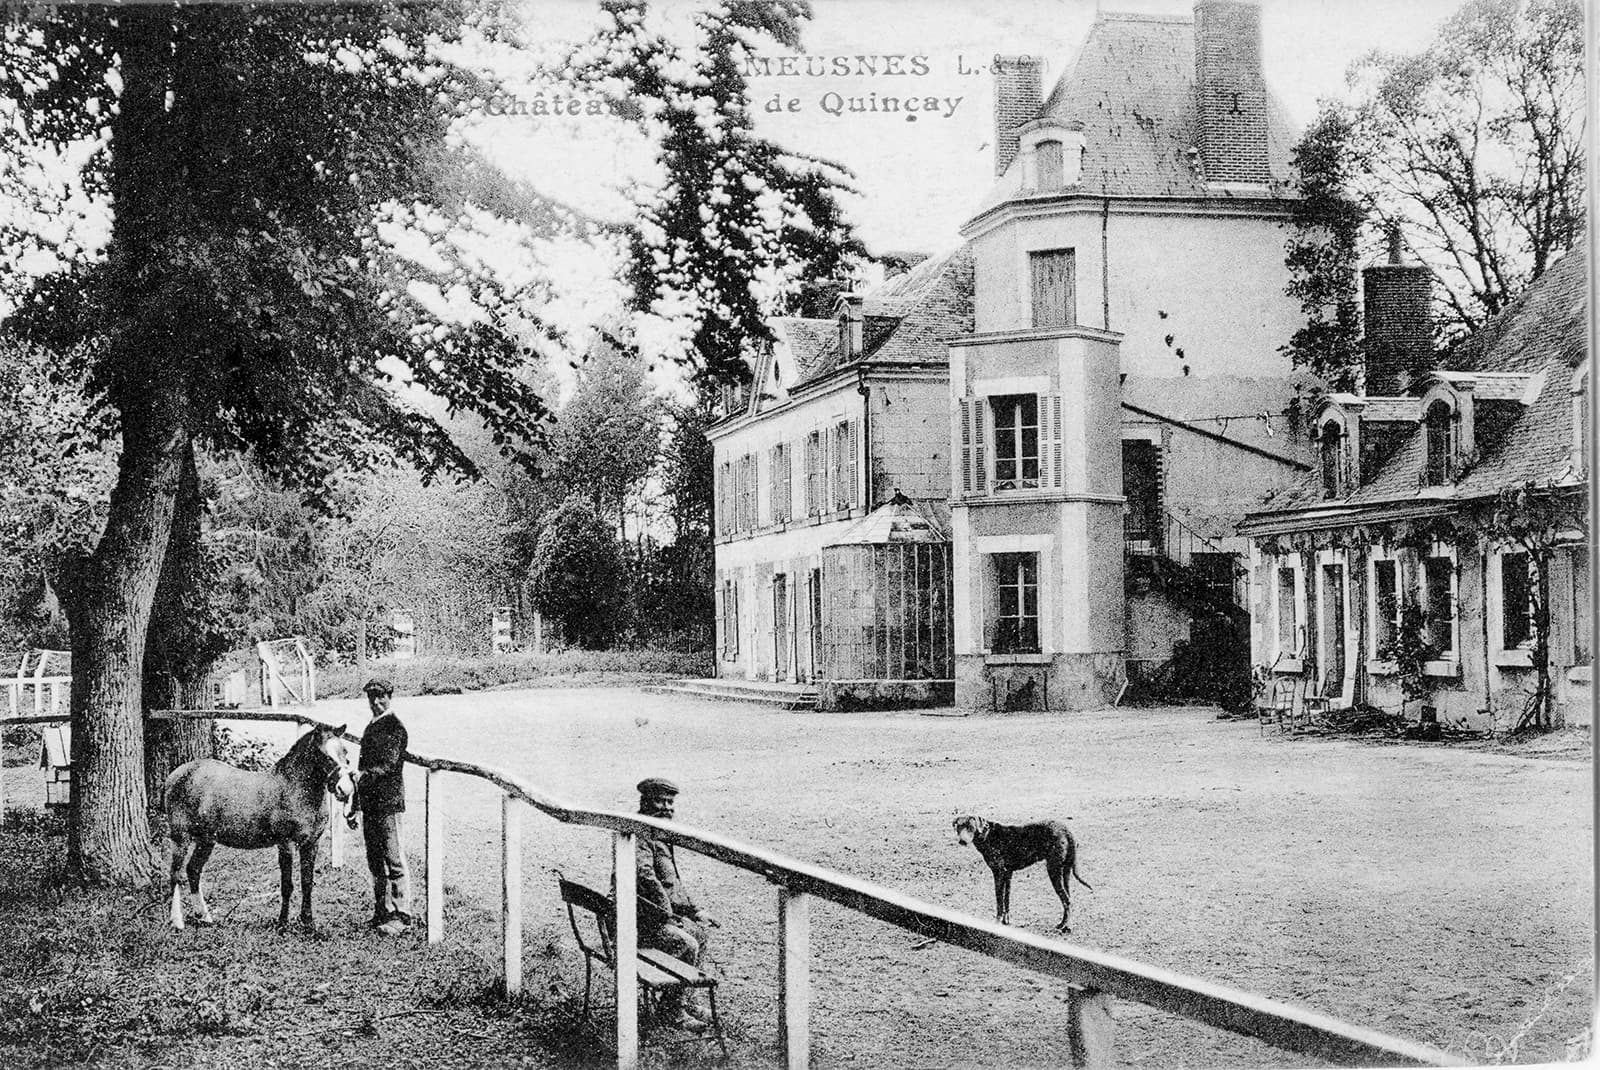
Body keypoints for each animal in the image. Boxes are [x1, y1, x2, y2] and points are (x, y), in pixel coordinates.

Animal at [164, 722, 355, 927]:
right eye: (325, 755)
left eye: (345, 752)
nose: (345, 789)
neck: (294, 789)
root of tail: (175, 775)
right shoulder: (286, 844)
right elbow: (287, 885)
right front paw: (282, 923)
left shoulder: (311, 844)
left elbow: (307, 883)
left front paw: (308, 923)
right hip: (180, 837)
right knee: (175, 874)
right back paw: (177, 921)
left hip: (206, 840)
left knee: (193, 870)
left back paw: (204, 916)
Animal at [953, 812, 1094, 927]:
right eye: (959, 827)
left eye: (970, 827)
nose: (962, 841)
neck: (988, 835)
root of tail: (1066, 830)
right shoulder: (1008, 874)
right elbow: (1006, 899)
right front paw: (1006, 921)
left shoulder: (998, 873)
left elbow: (999, 901)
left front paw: (997, 922)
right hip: (1065, 872)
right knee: (1068, 899)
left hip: (1054, 870)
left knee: (1066, 900)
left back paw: (1063, 925)